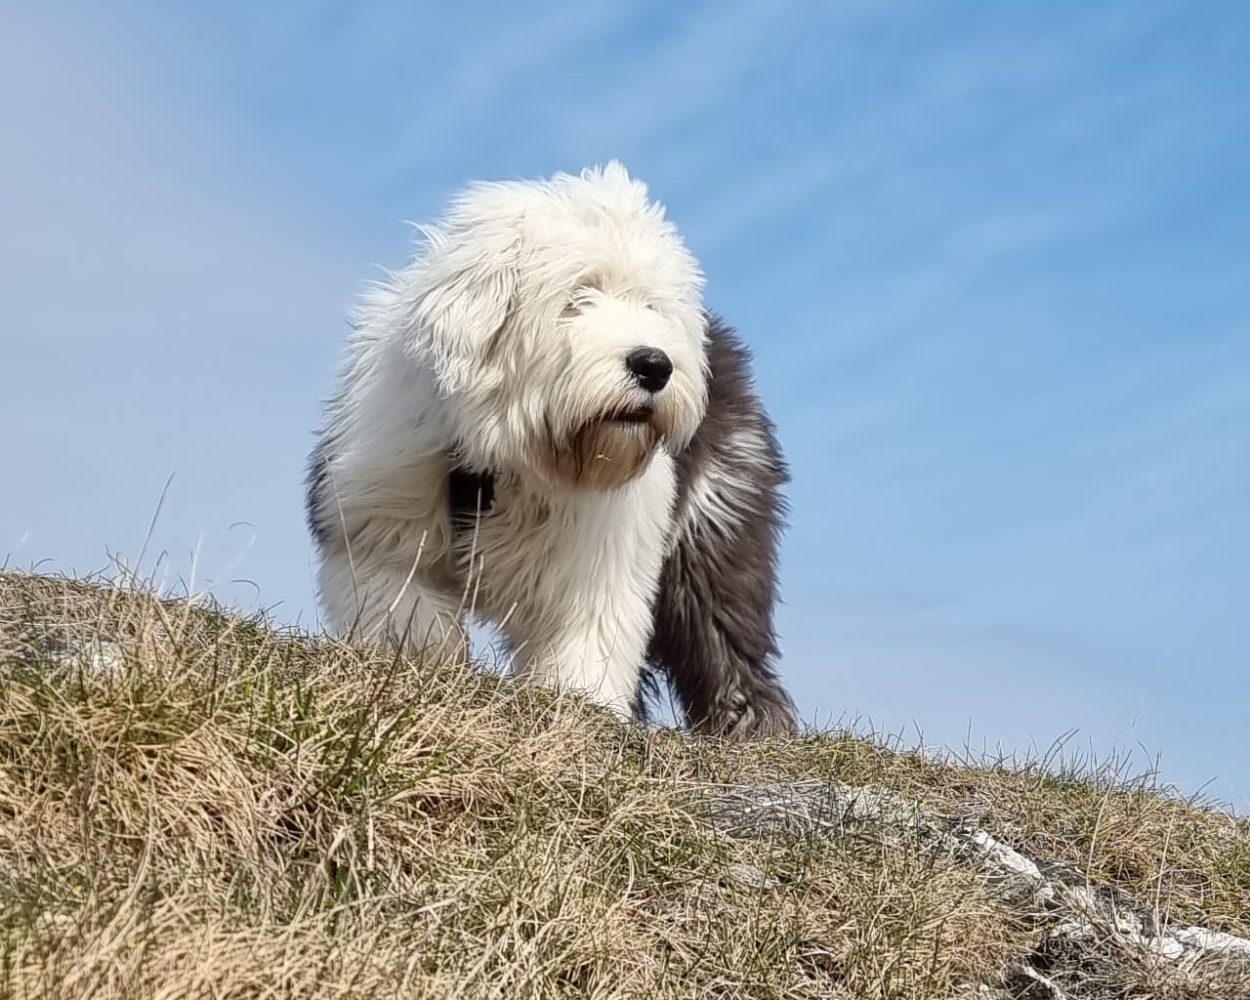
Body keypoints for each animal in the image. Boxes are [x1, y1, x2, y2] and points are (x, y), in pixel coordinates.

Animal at [310, 158, 800, 735]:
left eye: (650, 305)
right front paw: (426, 668)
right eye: (578, 296)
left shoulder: (601, 559)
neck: (504, 460)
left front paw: (579, 713)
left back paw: (751, 728)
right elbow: (407, 610)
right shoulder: (376, 521)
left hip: (715, 524)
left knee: (725, 643)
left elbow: (587, 646)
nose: (654, 364)